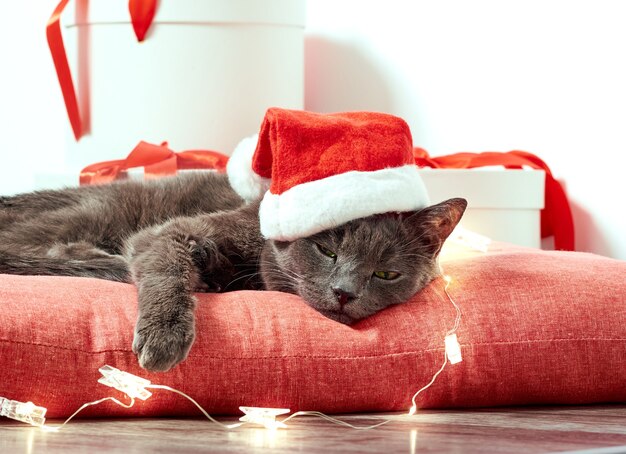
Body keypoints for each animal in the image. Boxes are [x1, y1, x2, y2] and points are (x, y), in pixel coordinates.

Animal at [0, 172, 464, 370]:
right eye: (326, 249)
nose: (345, 291)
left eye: (386, 274)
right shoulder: (164, 233)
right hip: (98, 211)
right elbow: (167, 267)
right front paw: (165, 335)